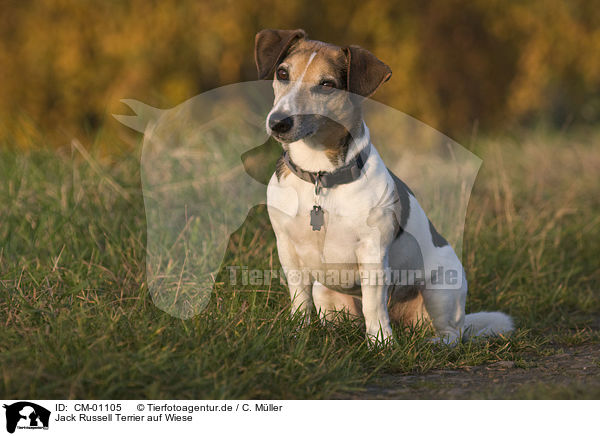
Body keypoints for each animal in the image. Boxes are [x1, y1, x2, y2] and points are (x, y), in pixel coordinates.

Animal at [255, 29, 512, 346]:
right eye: (282, 73)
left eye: (327, 85)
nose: (278, 122)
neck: (319, 176)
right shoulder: (288, 249)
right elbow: (299, 300)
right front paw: (297, 335)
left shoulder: (373, 252)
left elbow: (374, 305)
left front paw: (381, 344)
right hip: (324, 291)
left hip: (443, 289)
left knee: (451, 334)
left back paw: (431, 344)